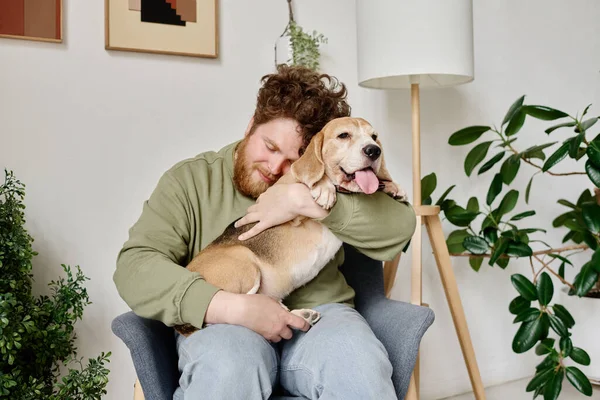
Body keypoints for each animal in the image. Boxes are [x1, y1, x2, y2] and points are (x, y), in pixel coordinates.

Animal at [176, 117, 406, 336]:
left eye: (374, 137)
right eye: (343, 135)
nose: (373, 150)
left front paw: (394, 187)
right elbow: (313, 183)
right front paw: (324, 189)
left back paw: (302, 315)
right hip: (244, 261)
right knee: (247, 303)